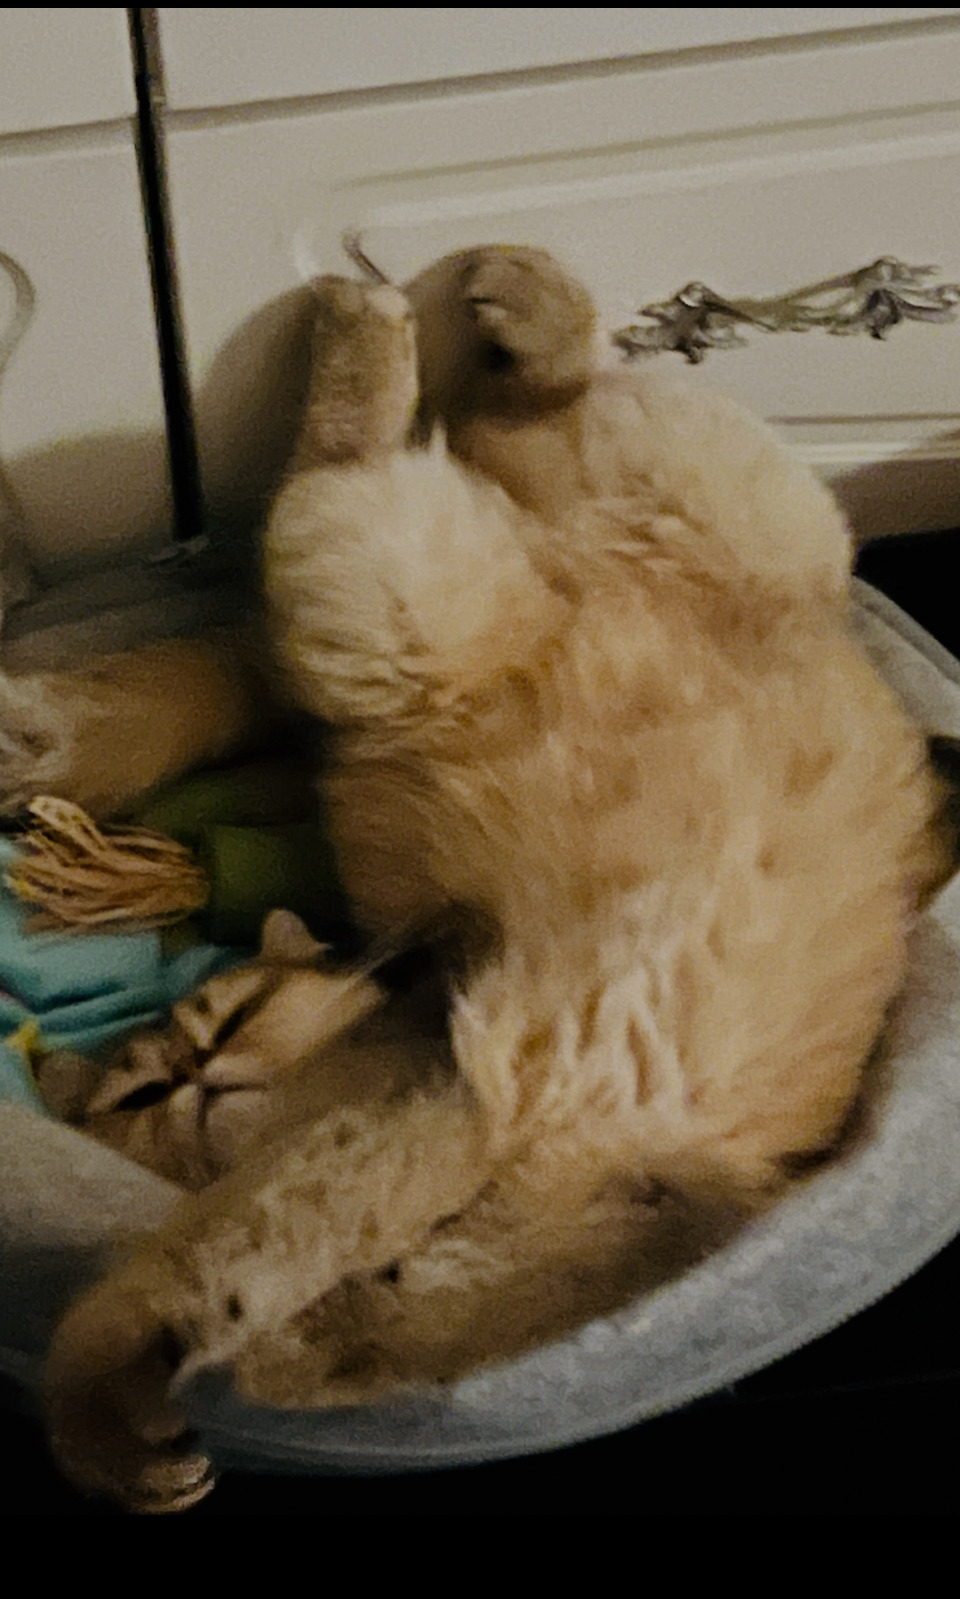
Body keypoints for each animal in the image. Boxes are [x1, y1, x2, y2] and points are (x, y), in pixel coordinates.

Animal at [1, 246, 949, 1513]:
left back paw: (407, 307)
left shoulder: (435, 1122)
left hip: (465, 586)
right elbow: (288, 1303)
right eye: (140, 1094)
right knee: (480, 431)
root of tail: (571, 560)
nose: (196, 1075)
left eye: (229, 1018)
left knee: (371, 457)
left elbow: (214, 1276)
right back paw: (498, 316)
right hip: (429, 596)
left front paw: (108, 1410)